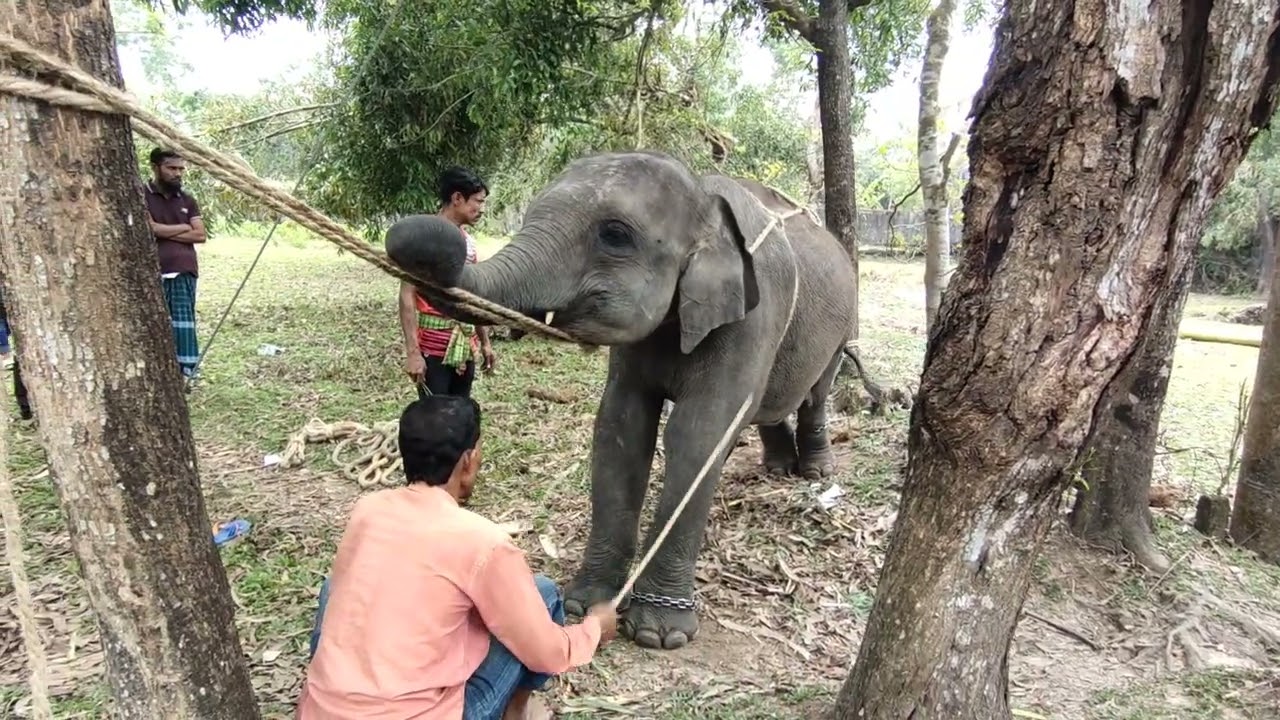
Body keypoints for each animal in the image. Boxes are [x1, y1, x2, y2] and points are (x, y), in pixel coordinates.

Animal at [384, 150, 881, 650]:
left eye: (615, 235)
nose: (415, 229)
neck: (704, 198)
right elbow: (621, 427)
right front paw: (586, 606)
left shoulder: (752, 318)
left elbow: (699, 435)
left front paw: (659, 634)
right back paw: (778, 468)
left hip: (842, 324)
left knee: (816, 394)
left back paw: (815, 472)